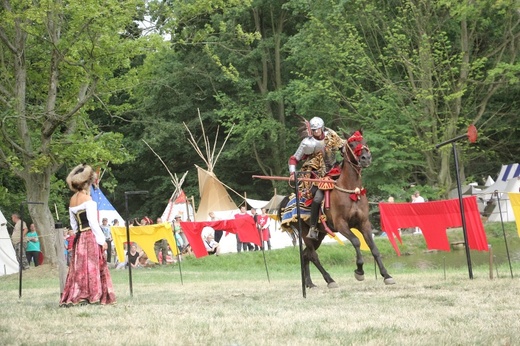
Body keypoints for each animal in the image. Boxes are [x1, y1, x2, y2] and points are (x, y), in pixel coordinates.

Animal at [278, 130, 396, 290]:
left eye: (364, 141)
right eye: (351, 144)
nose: (366, 158)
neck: (351, 190)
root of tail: (288, 201)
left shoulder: (364, 223)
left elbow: (374, 248)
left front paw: (386, 275)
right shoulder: (341, 225)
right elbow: (356, 241)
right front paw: (359, 271)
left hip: (319, 236)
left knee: (305, 255)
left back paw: (309, 283)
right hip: (305, 233)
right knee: (313, 255)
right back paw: (329, 280)